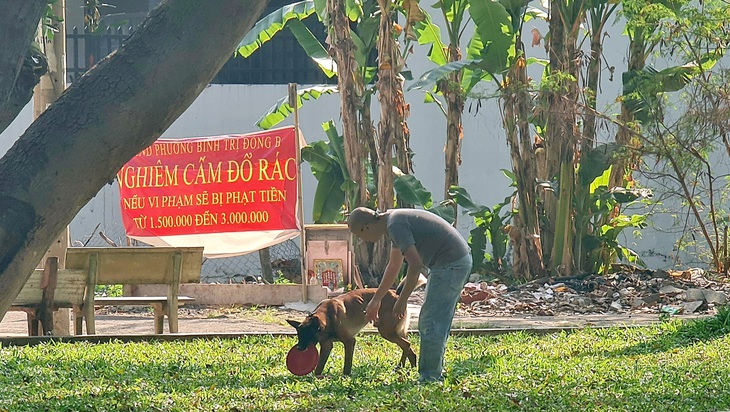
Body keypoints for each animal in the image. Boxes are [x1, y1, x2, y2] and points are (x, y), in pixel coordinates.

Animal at [284, 276, 420, 376]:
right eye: (299, 335)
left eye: (308, 335)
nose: (299, 348)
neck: (327, 316)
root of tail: (397, 294)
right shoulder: (326, 346)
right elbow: (319, 367)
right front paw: (316, 378)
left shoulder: (349, 342)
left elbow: (347, 364)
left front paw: (346, 377)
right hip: (395, 331)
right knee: (406, 346)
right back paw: (403, 367)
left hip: (387, 332)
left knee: (406, 345)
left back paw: (410, 367)